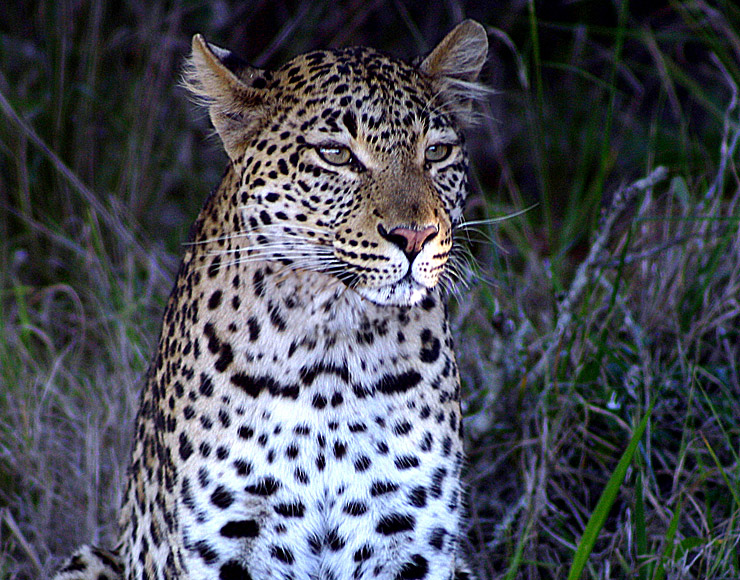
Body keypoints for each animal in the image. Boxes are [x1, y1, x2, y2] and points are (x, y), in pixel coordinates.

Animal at [53, 20, 492, 580]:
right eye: (336, 154)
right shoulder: (226, 544)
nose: (415, 236)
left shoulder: (410, 539)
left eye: (435, 153)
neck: (333, 346)